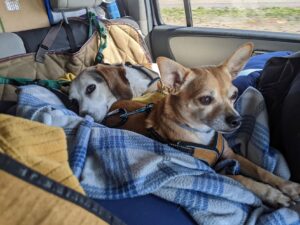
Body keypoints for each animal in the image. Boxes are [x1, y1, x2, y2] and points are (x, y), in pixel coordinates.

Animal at [103, 42, 300, 207]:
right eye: (205, 100)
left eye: (234, 95)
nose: (237, 121)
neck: (202, 133)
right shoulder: (216, 170)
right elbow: (245, 180)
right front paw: (273, 195)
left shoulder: (231, 155)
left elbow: (260, 171)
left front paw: (288, 186)